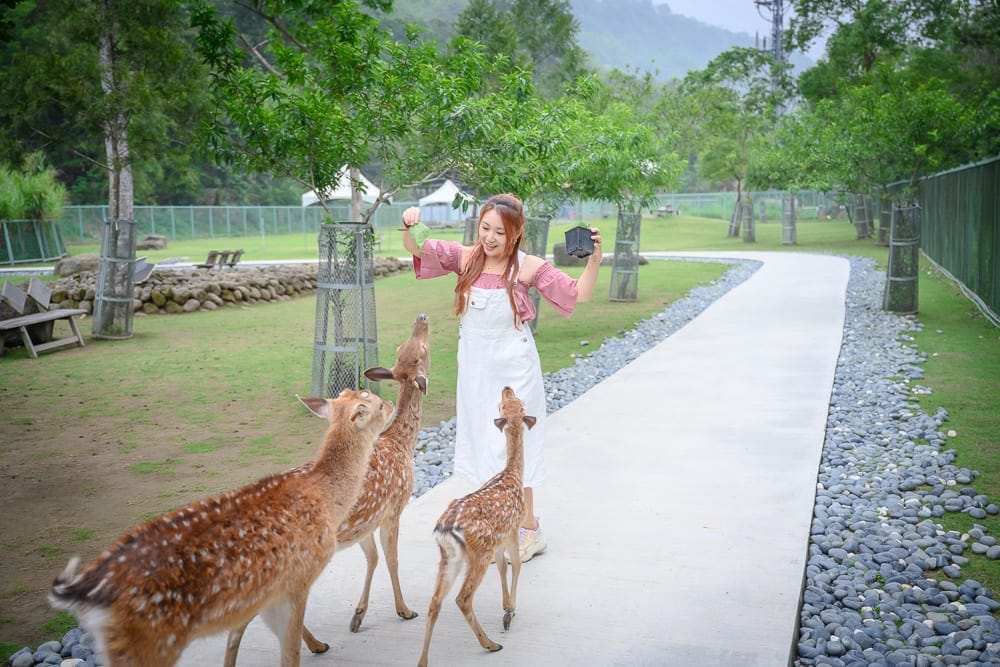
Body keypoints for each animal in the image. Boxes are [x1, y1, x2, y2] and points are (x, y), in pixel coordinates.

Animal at [49, 388, 393, 667]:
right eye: (375, 402)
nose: (390, 402)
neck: (325, 499)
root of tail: (89, 588)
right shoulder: (298, 579)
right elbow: (288, 653)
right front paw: (318, 645)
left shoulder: (269, 589)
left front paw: (319, 645)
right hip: (151, 641)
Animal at [223, 312, 431, 665]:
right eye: (418, 351)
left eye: (407, 348)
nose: (421, 317)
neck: (401, 444)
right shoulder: (394, 507)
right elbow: (391, 559)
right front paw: (405, 610)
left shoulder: (363, 524)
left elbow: (373, 558)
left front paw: (358, 616)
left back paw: (316, 643)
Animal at [418, 385, 536, 667]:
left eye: (514, 403)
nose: (507, 388)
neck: (511, 474)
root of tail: (445, 531)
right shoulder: (512, 530)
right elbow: (516, 566)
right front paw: (510, 612)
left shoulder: (498, 541)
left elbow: (503, 568)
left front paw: (506, 606)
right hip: (478, 552)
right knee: (462, 598)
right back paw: (491, 644)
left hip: (450, 557)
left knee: (435, 601)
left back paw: (423, 661)